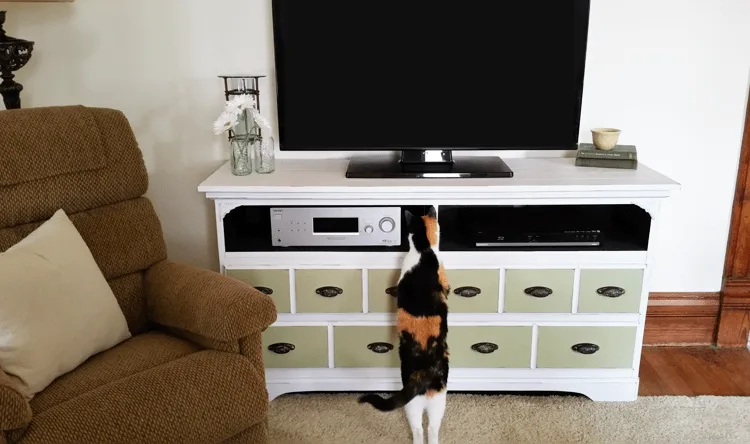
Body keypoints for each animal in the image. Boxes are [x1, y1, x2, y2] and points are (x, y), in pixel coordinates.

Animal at [360, 206, 450, 444]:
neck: (424, 251)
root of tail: (425, 370)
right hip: (437, 402)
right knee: (431, 430)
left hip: (417, 404)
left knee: (419, 430)